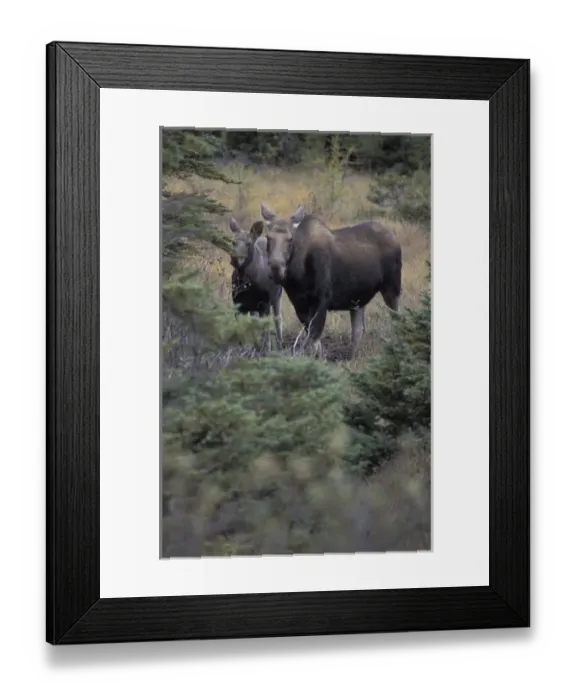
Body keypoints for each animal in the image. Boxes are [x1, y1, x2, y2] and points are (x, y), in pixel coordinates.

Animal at [260, 202, 402, 359]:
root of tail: (395, 238)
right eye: (268, 237)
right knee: (358, 331)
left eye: (290, 239)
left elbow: (314, 337)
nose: (275, 267)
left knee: (396, 319)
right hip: (357, 301)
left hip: (391, 288)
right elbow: (314, 340)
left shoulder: (322, 299)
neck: (297, 274)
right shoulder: (299, 303)